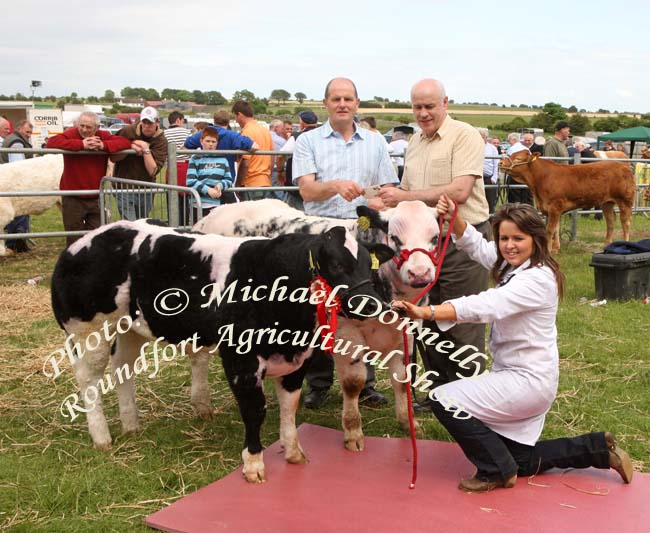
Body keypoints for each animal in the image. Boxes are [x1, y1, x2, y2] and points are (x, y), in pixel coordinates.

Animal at [52, 218, 390, 480]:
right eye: (336, 264)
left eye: (368, 266)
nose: (372, 304)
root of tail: (82, 241)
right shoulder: (240, 360)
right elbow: (255, 410)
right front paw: (254, 464)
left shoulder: (297, 357)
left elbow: (289, 406)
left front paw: (293, 452)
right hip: (88, 331)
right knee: (89, 380)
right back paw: (102, 437)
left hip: (131, 327)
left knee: (123, 368)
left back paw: (131, 425)